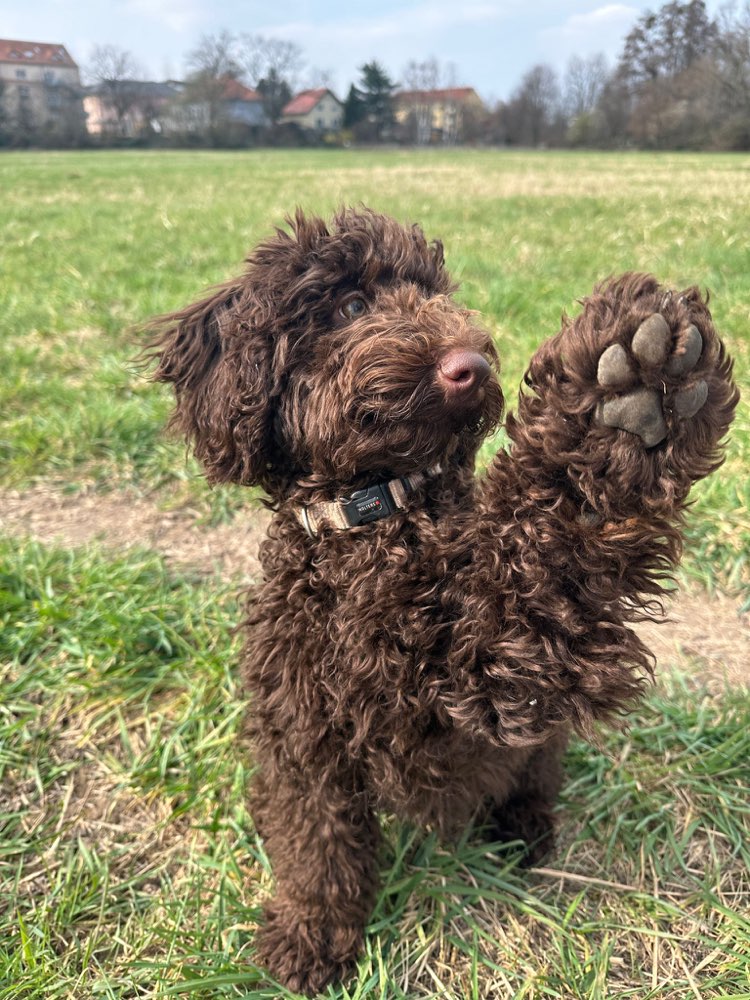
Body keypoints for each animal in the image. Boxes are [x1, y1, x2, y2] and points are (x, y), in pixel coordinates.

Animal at [148, 205, 740, 992]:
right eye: (350, 305)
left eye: (435, 295)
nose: (473, 365)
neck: (378, 518)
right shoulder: (304, 735)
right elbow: (317, 846)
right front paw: (311, 939)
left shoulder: (501, 658)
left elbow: (554, 535)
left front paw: (628, 400)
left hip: (535, 749)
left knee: (537, 777)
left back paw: (524, 828)